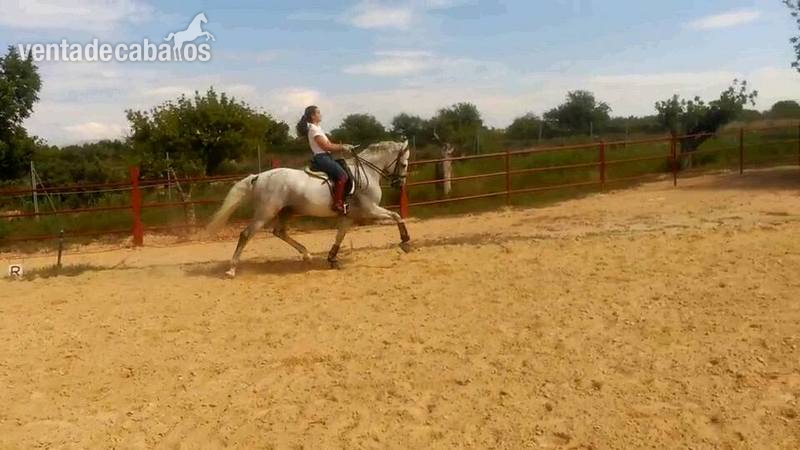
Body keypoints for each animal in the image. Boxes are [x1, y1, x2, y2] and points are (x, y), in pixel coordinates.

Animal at [206, 140, 412, 277]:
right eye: (403, 164)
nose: (399, 184)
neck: (366, 173)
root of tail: (258, 177)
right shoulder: (370, 209)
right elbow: (396, 215)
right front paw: (405, 242)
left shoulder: (349, 216)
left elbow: (340, 235)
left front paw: (332, 259)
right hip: (266, 212)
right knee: (246, 234)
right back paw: (232, 269)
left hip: (287, 211)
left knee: (279, 232)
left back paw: (307, 254)